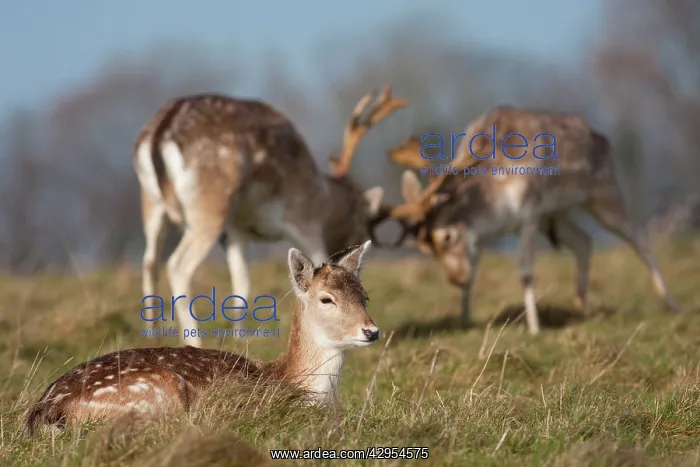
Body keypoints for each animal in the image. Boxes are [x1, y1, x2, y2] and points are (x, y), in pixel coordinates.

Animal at [133, 87, 406, 348]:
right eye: (363, 222)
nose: (355, 248)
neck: (323, 196)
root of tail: (160, 131)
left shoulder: (236, 229)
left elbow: (242, 283)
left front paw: (239, 338)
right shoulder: (303, 219)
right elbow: (316, 261)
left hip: (151, 204)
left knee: (149, 261)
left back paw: (151, 336)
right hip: (209, 206)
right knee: (177, 265)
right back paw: (193, 340)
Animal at [370, 106, 681, 334]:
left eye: (447, 236)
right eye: (423, 249)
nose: (456, 279)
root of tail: (603, 139)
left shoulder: (530, 212)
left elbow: (525, 272)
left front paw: (534, 327)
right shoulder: (488, 234)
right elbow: (476, 270)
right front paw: (465, 318)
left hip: (603, 192)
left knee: (639, 236)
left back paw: (671, 303)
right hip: (557, 214)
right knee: (584, 240)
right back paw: (580, 306)